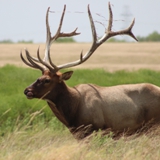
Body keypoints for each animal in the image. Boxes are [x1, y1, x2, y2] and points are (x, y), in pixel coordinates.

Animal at [20, 1, 160, 139]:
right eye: (38, 77)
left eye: (47, 80)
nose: (27, 90)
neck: (72, 114)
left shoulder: (95, 129)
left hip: (153, 125)